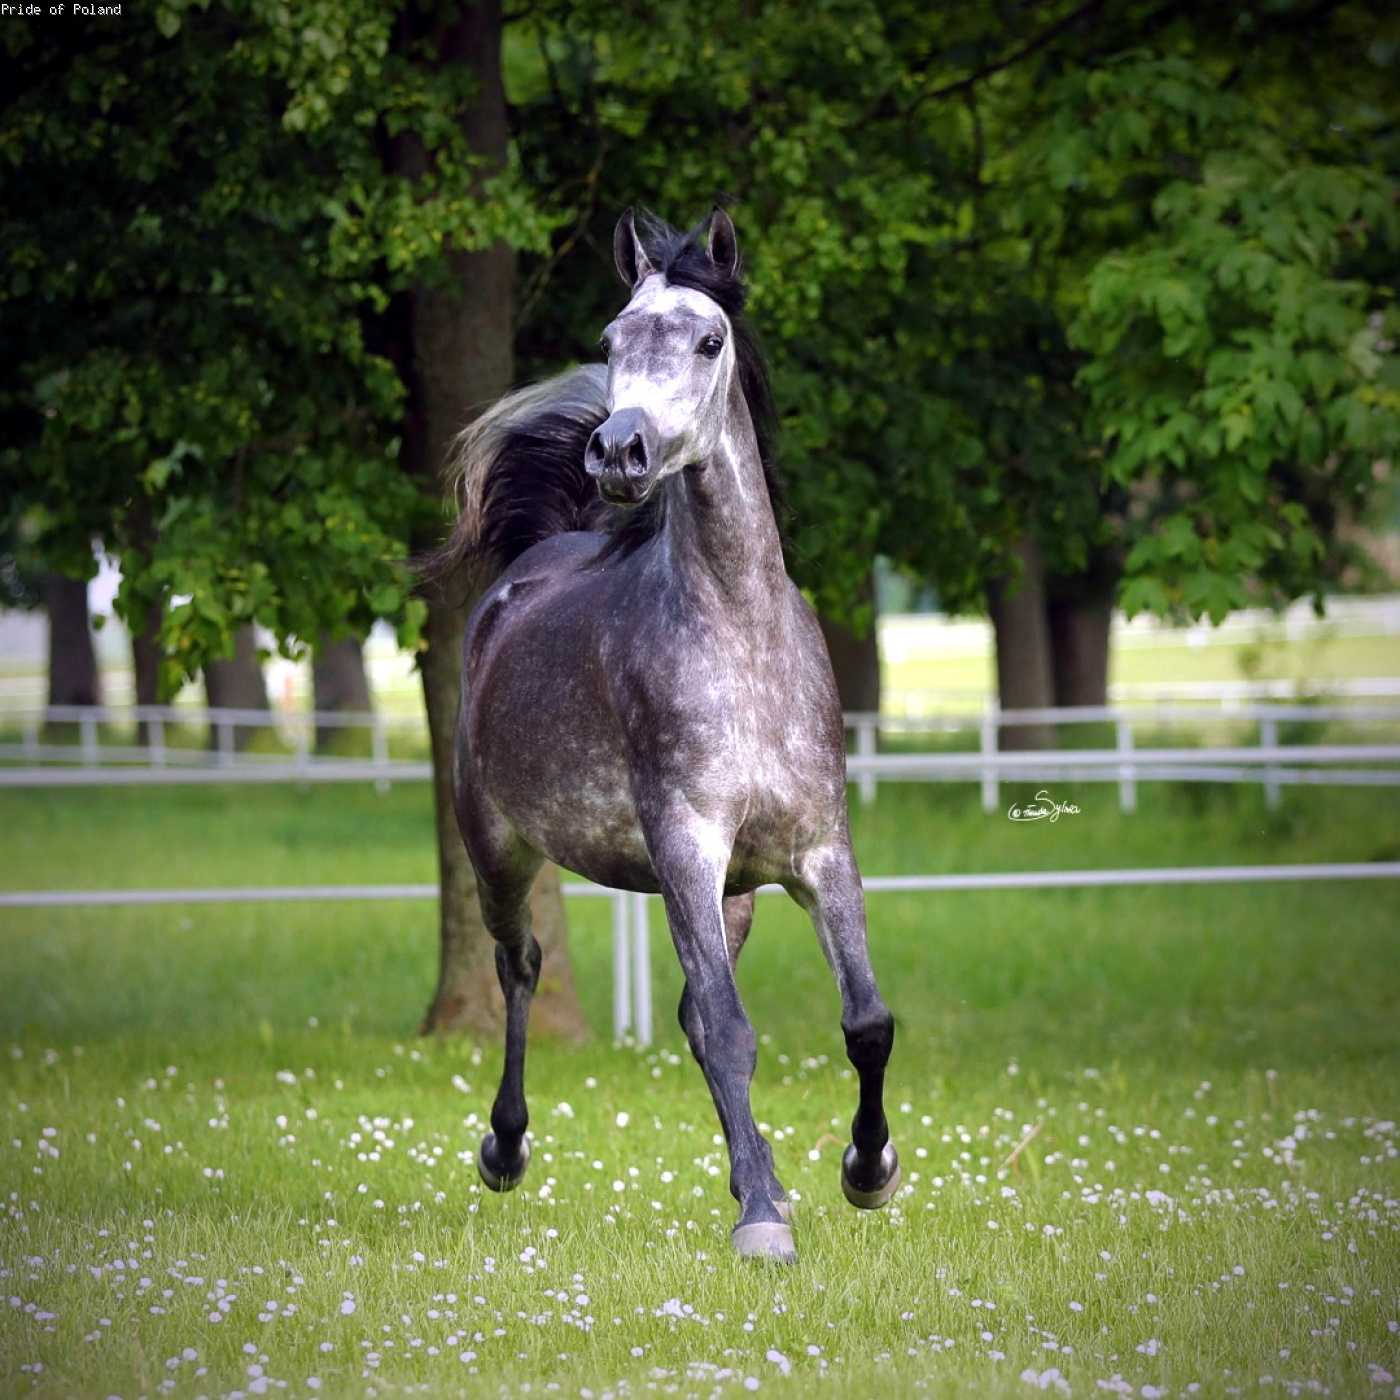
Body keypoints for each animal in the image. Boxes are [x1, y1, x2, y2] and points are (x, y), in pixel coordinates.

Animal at [429, 208, 898, 1262]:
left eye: (709, 340)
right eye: (610, 343)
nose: (619, 452)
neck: (741, 644)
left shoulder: (819, 854)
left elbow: (864, 1021)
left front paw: (867, 1170)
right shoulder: (686, 846)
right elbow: (730, 1030)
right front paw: (763, 1219)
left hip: (736, 895)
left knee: (686, 1010)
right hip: (500, 851)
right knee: (521, 968)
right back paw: (506, 1148)